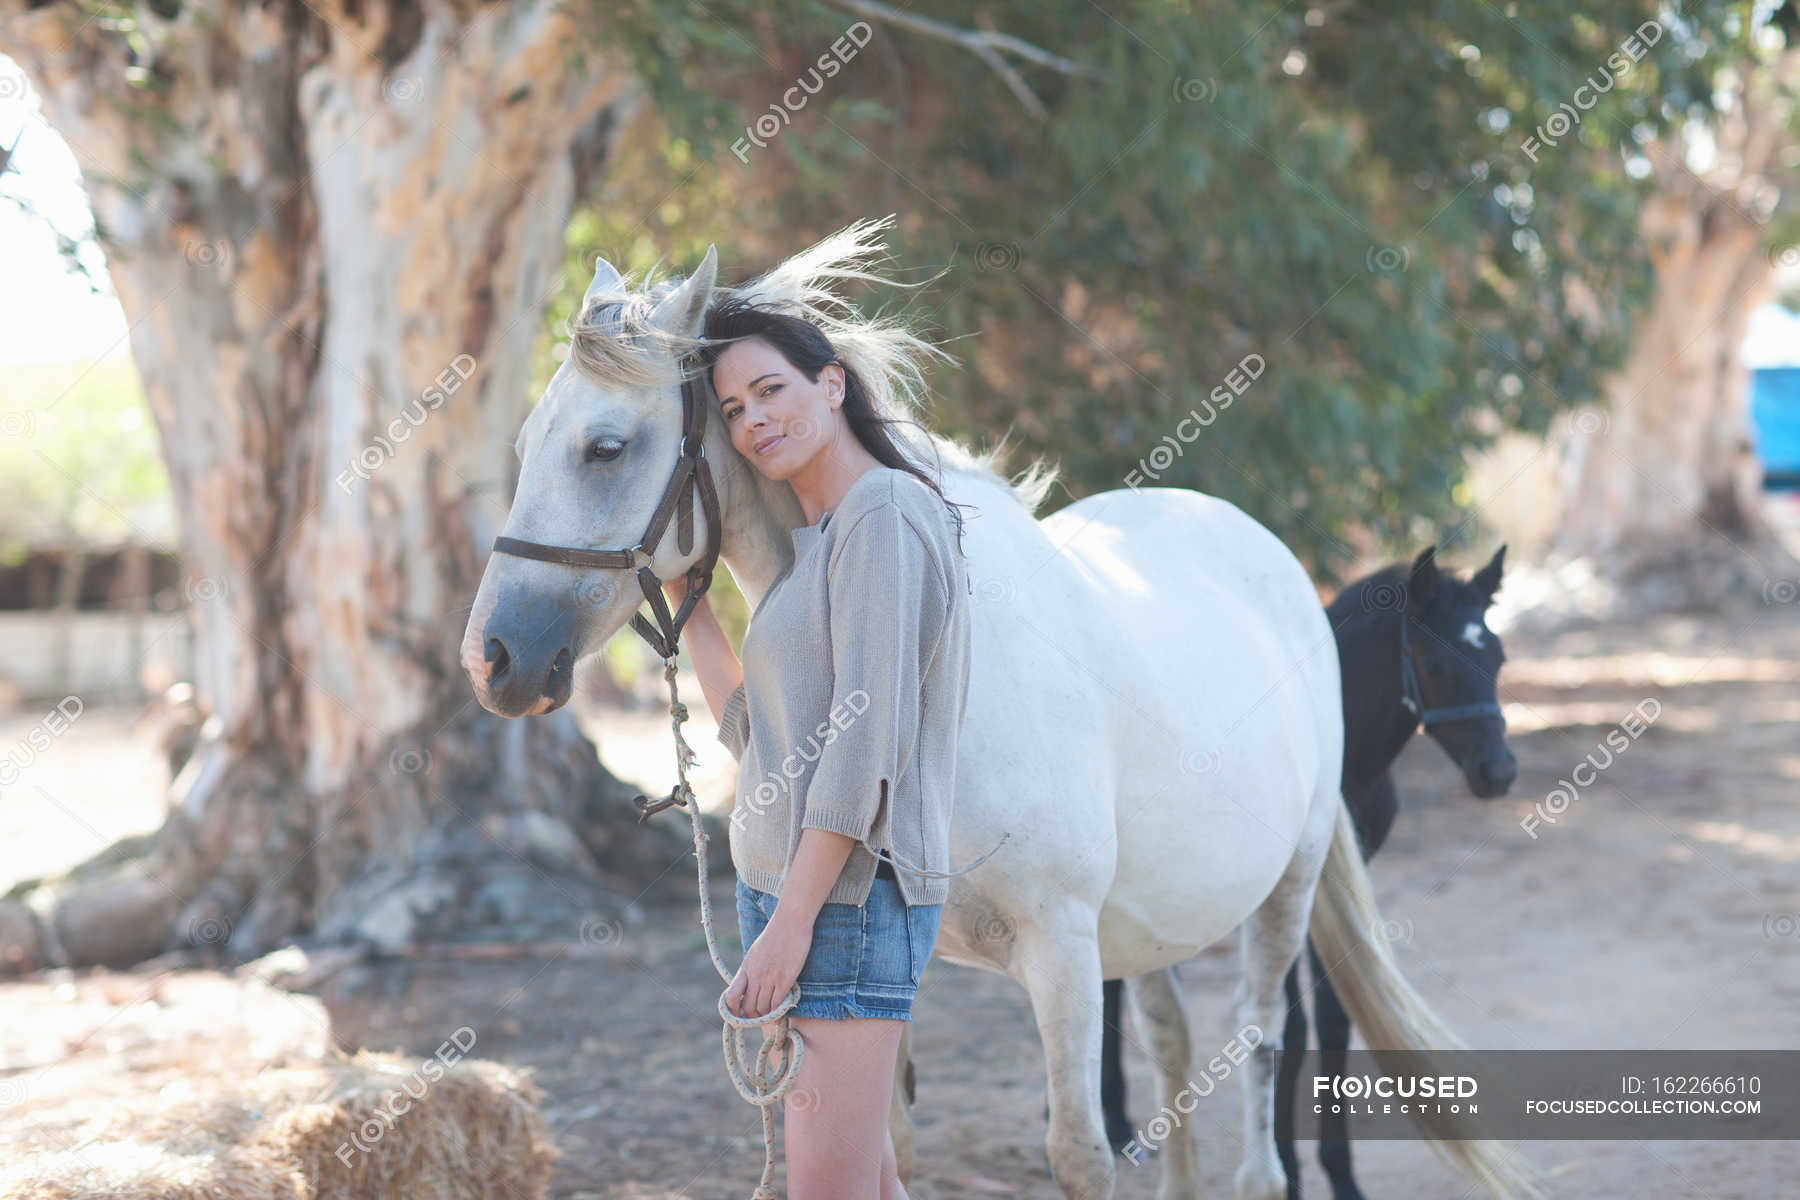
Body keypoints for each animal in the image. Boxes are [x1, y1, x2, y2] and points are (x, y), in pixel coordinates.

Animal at [1087, 546, 1512, 1200]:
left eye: (1499, 658)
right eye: (1435, 663)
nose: (1499, 771)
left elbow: (1333, 1021)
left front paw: (1342, 1177)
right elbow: (1290, 1025)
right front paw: (1285, 1168)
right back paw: (1111, 1121)